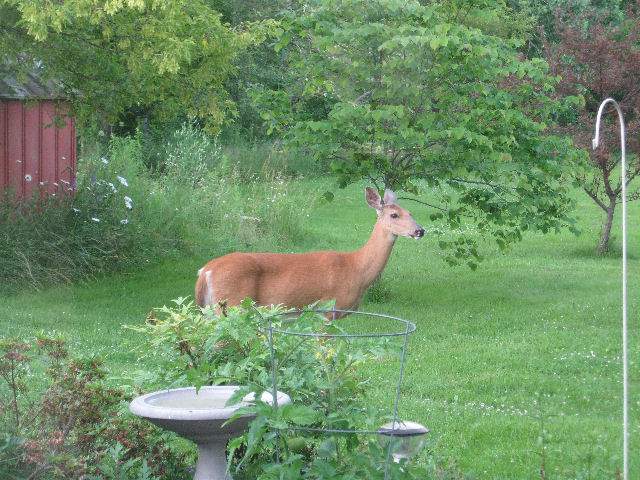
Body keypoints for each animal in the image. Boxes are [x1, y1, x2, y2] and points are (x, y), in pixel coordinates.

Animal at [195, 188, 424, 318]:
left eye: (411, 213)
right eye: (394, 215)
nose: (420, 230)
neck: (356, 269)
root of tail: (205, 271)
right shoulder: (328, 310)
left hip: (210, 310)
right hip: (233, 305)